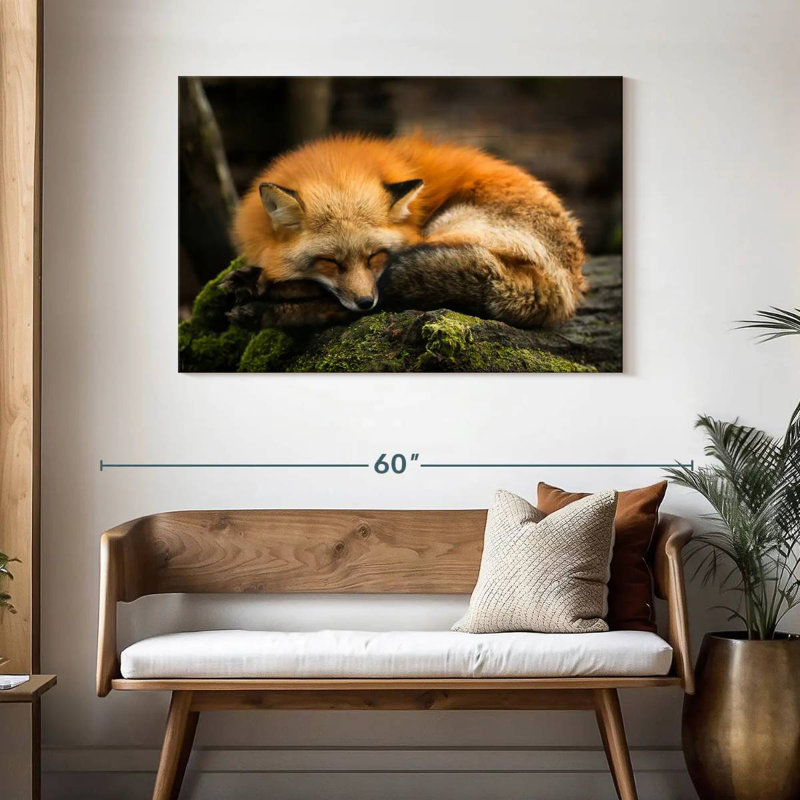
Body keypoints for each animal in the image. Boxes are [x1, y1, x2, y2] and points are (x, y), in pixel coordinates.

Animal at [226, 134, 586, 329]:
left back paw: (263, 307)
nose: (364, 302)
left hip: (448, 228)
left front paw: (262, 286)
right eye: (329, 262)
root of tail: (567, 288)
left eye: (375, 256)